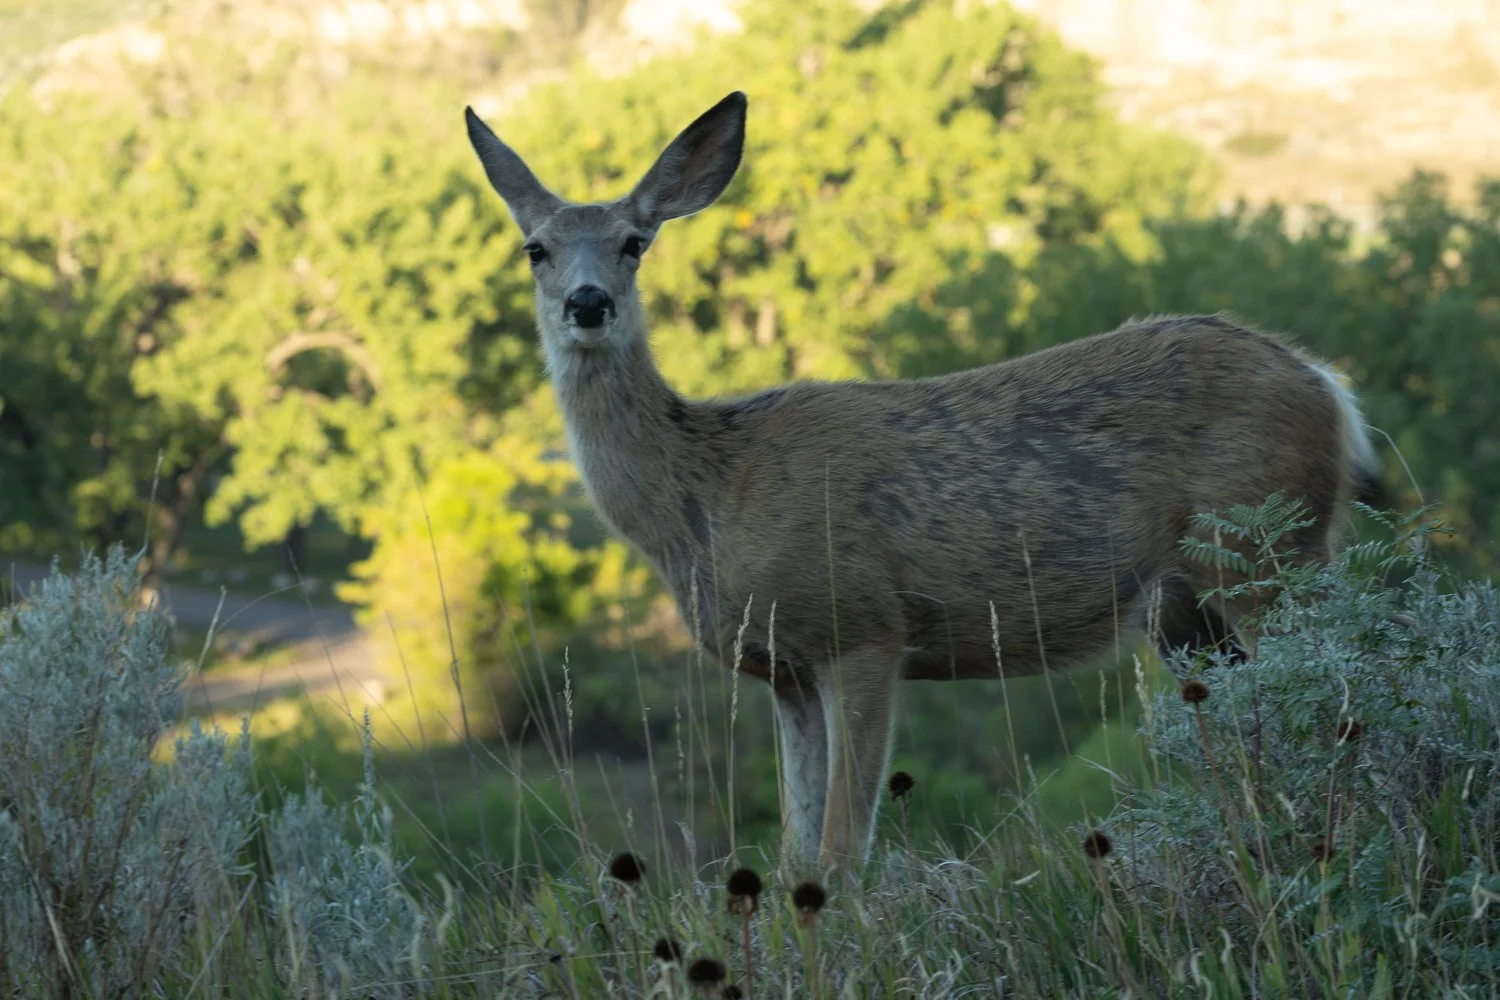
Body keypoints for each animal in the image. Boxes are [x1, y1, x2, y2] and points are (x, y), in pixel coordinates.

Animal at [463, 91, 1382, 872]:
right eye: (535, 249)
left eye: (634, 242)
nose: (587, 303)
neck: (712, 489)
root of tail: (1330, 387)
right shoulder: (784, 669)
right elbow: (797, 851)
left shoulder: (864, 626)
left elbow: (842, 851)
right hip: (1189, 608)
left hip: (1268, 552)